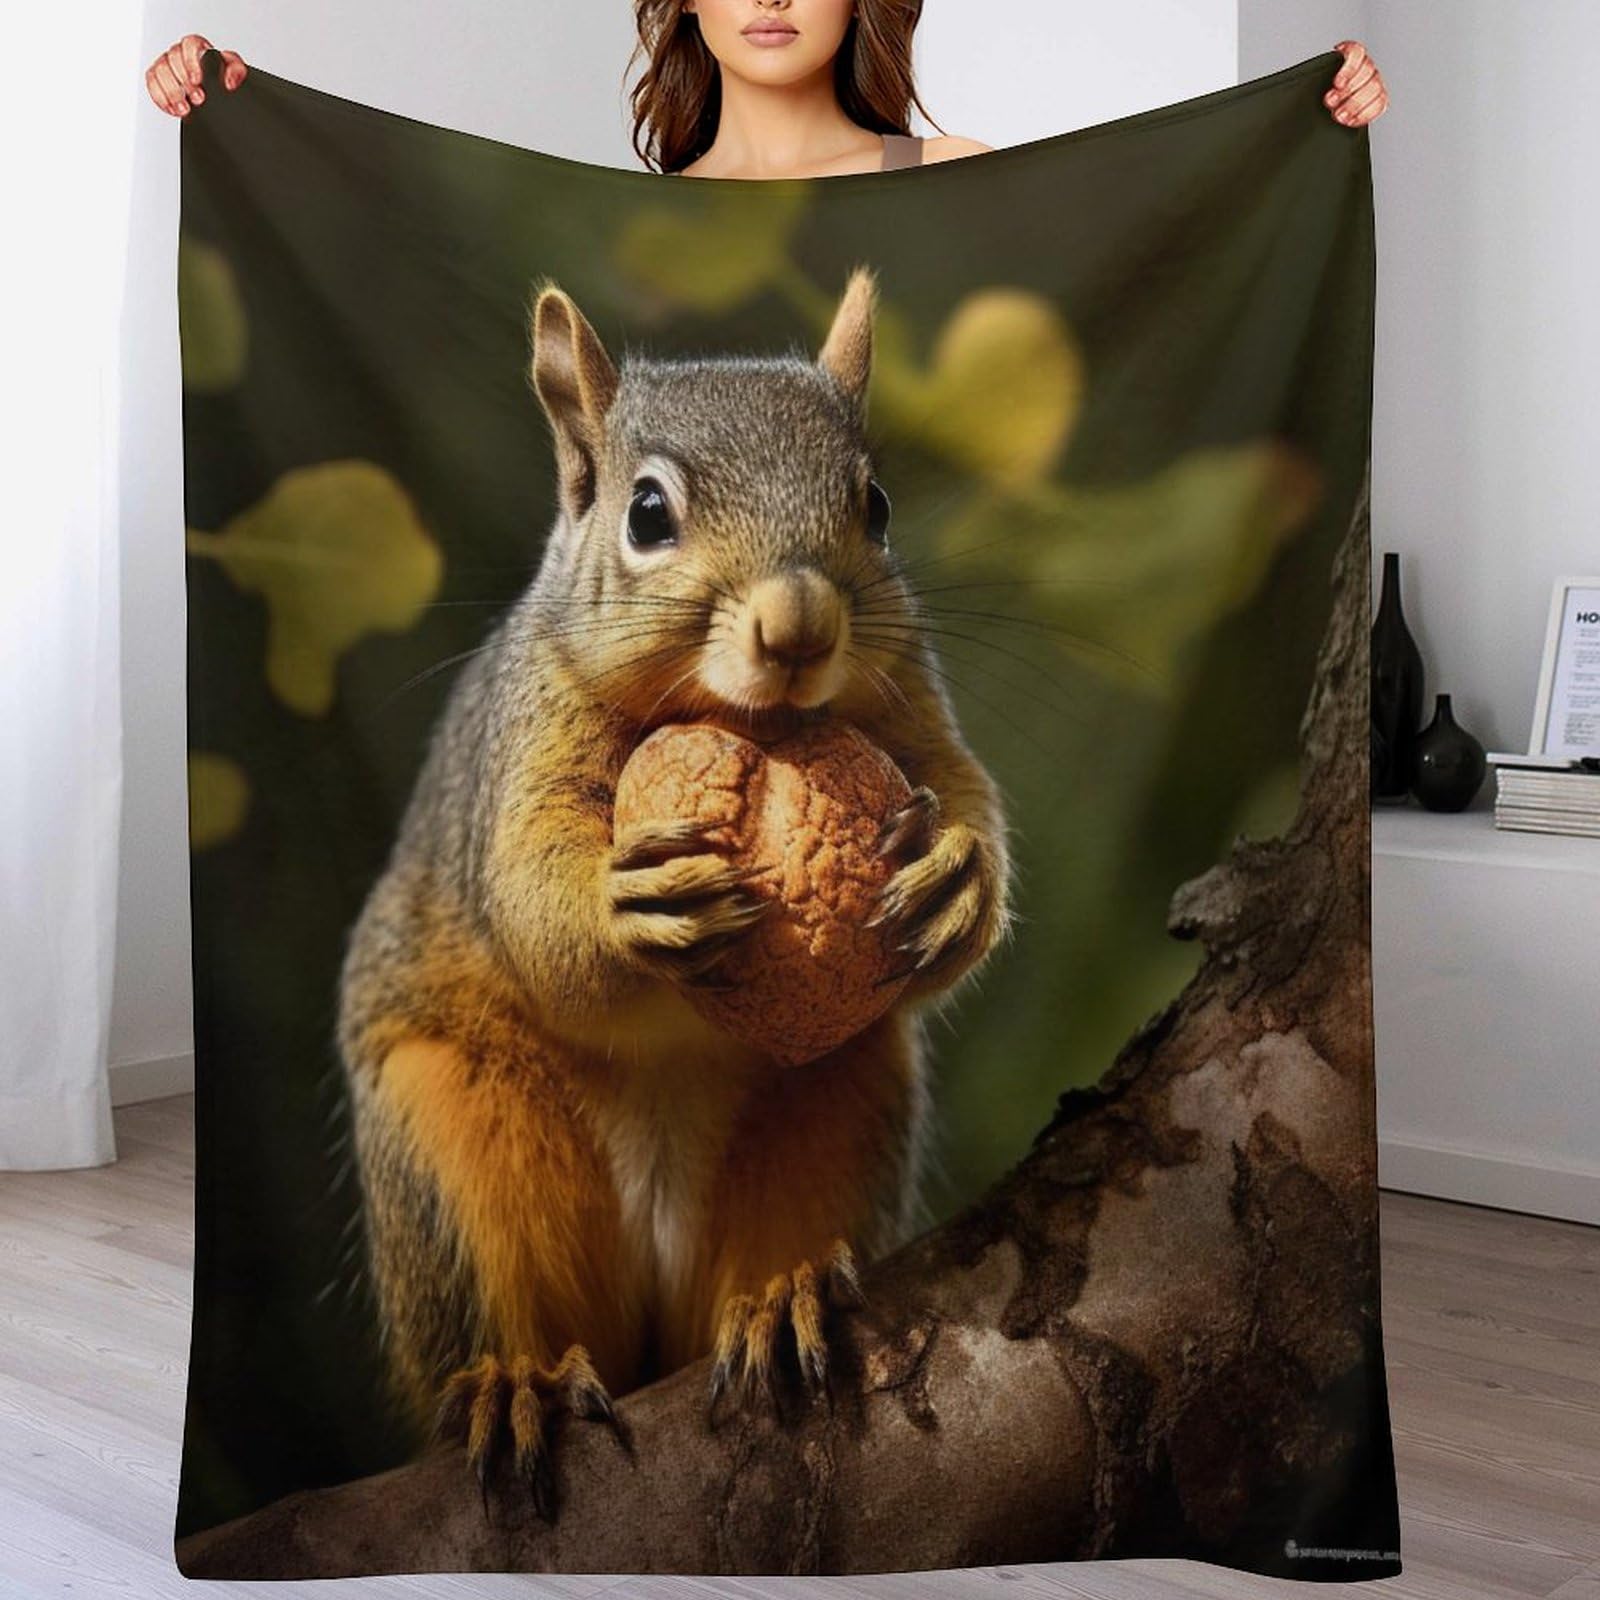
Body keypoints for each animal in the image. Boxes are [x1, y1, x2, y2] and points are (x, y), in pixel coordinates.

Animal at [336, 264, 1012, 1511]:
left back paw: (780, 1295)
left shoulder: (907, 702)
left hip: (840, 1107)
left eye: (876, 503)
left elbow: (960, 788)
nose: (799, 625)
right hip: (449, 1141)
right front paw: (621, 911)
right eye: (647, 514)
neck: (748, 722)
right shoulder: (523, 743)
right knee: (497, 1297)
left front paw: (957, 876)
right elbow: (528, 897)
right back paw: (515, 1380)